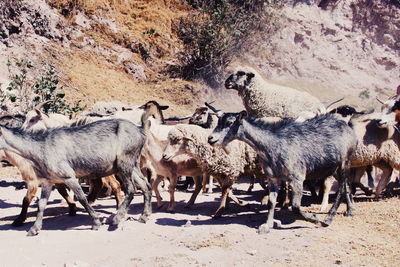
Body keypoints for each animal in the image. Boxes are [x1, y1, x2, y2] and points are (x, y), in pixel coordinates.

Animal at [0, 118, 152, 236]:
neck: (41, 147)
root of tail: (140, 130)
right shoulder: (48, 181)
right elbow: (41, 204)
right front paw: (34, 229)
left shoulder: (69, 177)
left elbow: (81, 198)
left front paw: (96, 222)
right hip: (132, 165)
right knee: (146, 186)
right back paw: (144, 216)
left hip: (124, 163)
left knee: (131, 189)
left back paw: (117, 218)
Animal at [208, 111, 358, 234]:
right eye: (218, 121)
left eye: (229, 123)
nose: (210, 138)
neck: (273, 144)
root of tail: (347, 127)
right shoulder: (273, 178)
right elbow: (271, 201)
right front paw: (267, 225)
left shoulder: (297, 178)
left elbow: (296, 206)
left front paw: (315, 219)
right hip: (334, 167)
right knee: (346, 186)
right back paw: (350, 211)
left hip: (345, 162)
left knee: (342, 188)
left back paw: (328, 218)